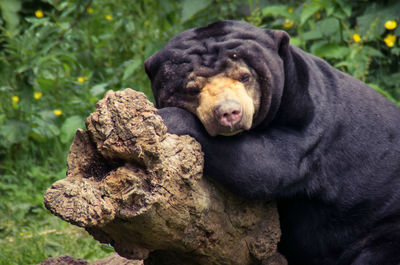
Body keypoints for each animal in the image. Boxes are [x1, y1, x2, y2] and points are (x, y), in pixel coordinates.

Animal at [144, 20, 400, 264]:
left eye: (245, 77)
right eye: (192, 89)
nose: (229, 113)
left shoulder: (311, 125)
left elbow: (264, 165)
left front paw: (165, 117)